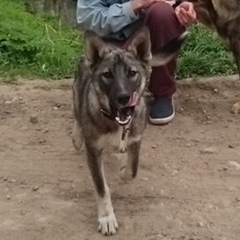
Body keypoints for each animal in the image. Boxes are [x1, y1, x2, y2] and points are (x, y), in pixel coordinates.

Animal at [71, 27, 188, 235]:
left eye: (132, 72)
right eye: (107, 74)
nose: (123, 98)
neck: (116, 123)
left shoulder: (136, 138)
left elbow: (133, 170)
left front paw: (122, 172)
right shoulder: (93, 149)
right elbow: (101, 187)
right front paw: (106, 217)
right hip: (77, 91)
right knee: (76, 111)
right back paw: (77, 137)